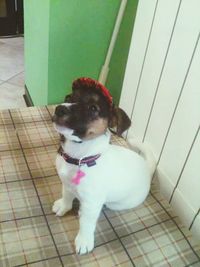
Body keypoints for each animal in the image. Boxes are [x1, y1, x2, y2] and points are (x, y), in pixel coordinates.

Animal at [51, 77, 155, 255]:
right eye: (68, 98)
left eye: (93, 108)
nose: (59, 109)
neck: (79, 157)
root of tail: (147, 169)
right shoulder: (66, 183)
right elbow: (67, 195)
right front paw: (64, 206)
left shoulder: (92, 201)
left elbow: (86, 223)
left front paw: (84, 240)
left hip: (117, 203)